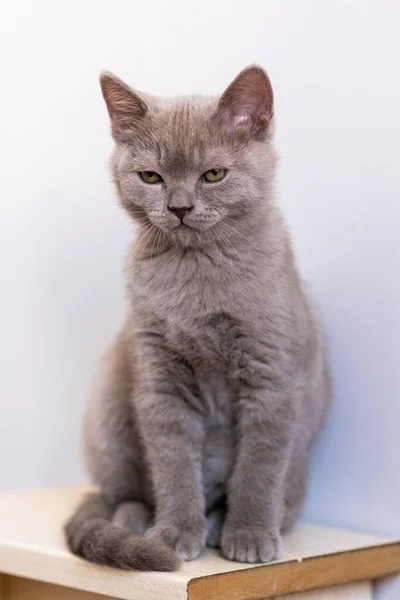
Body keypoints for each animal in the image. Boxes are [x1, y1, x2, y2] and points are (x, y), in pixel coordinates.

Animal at [65, 64, 332, 572]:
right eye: (150, 176)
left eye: (213, 174)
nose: (180, 207)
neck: (197, 271)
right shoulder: (159, 379)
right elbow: (172, 463)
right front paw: (173, 535)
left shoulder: (271, 377)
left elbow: (259, 468)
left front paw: (249, 534)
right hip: (110, 397)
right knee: (118, 493)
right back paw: (140, 521)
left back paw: (225, 522)